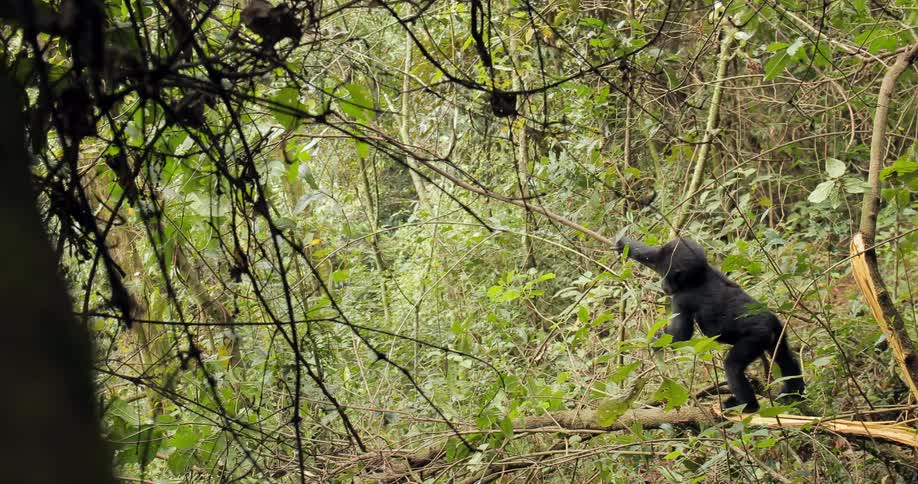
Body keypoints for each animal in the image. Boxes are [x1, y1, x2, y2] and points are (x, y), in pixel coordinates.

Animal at [615, 235, 805, 412]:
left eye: (666, 275)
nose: (663, 286)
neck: (699, 276)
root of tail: (770, 323)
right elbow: (651, 255)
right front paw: (623, 243)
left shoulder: (682, 298)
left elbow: (681, 336)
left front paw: (656, 341)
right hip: (778, 332)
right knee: (785, 357)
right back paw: (795, 393)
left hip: (758, 337)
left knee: (733, 366)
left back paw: (748, 406)